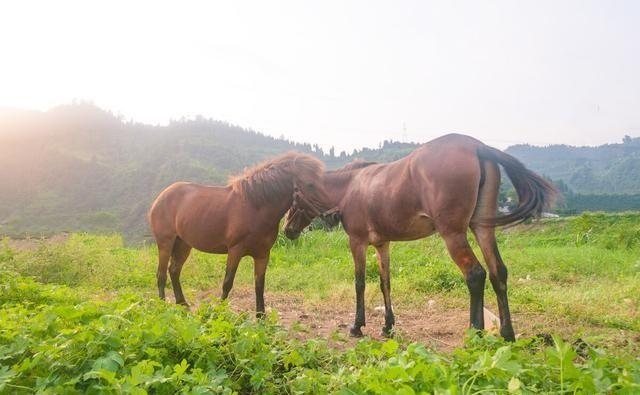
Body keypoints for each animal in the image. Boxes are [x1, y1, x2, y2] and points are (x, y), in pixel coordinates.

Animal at [149, 152, 336, 316]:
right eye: (310, 184)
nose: (334, 215)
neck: (255, 208)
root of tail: (160, 197)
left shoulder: (262, 255)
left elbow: (259, 285)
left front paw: (261, 317)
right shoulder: (235, 251)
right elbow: (227, 283)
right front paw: (218, 311)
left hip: (183, 244)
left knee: (174, 271)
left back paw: (183, 304)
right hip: (165, 243)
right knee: (161, 275)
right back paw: (162, 305)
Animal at [284, 135, 556, 342]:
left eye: (293, 199)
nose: (287, 230)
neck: (350, 188)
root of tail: (477, 146)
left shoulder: (357, 242)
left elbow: (359, 283)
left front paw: (357, 326)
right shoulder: (382, 244)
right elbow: (385, 283)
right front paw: (388, 326)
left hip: (453, 233)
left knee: (475, 274)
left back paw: (475, 332)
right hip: (482, 228)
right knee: (498, 272)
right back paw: (507, 334)